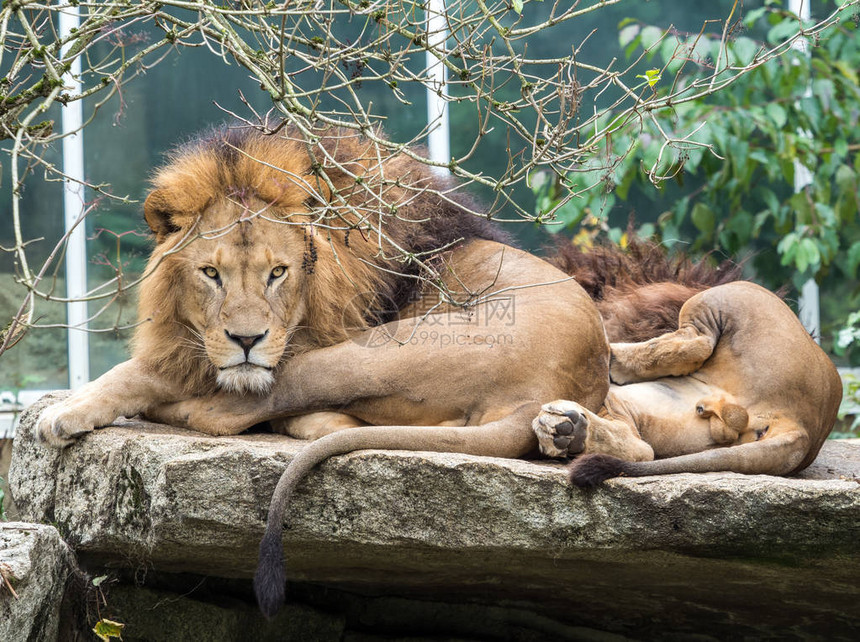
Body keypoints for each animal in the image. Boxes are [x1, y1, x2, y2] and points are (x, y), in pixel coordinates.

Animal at [536, 280, 844, 484]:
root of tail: (807, 429)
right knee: (639, 446)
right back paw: (569, 431)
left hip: (730, 294)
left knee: (697, 341)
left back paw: (612, 360)